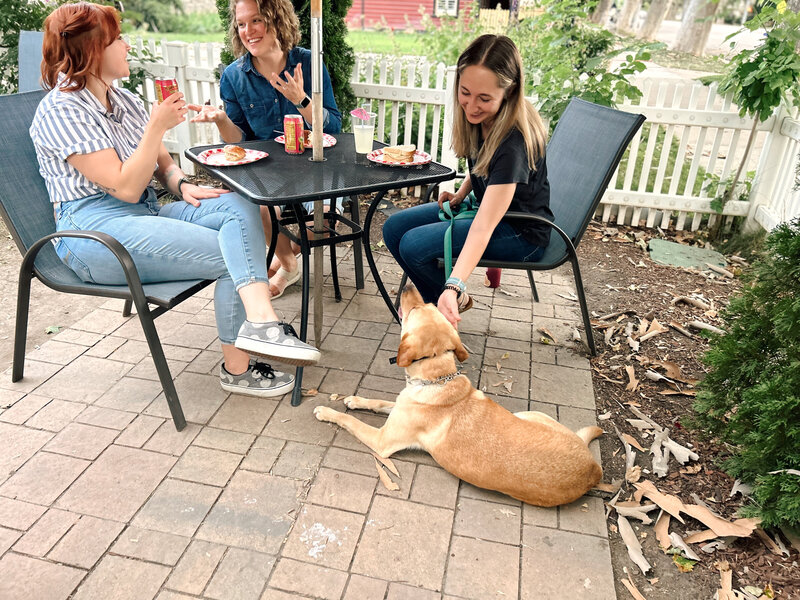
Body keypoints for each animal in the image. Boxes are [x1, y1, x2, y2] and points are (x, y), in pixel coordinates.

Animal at [316, 284, 604, 504]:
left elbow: (350, 421)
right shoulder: (399, 407)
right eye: (429, 305)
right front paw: (355, 400)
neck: (437, 379)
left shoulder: (382, 441)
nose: (408, 287)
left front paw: (327, 411)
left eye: (416, 309)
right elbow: (379, 402)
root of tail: (593, 470)